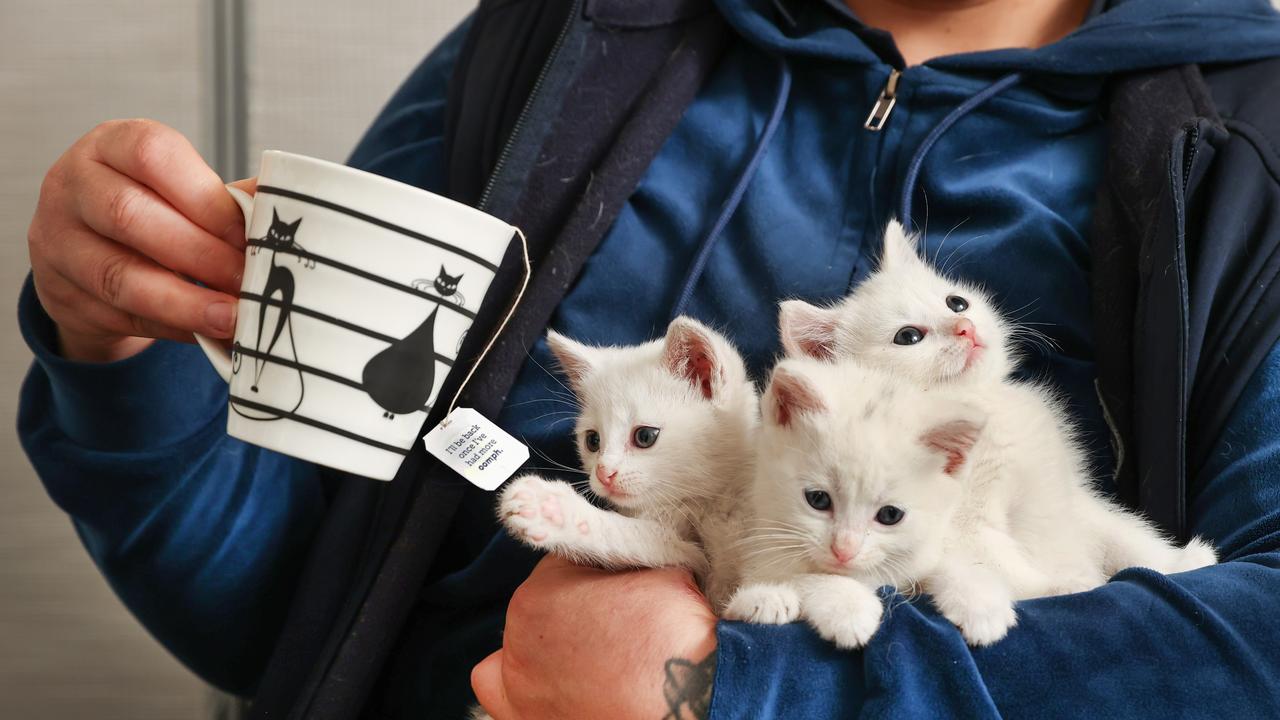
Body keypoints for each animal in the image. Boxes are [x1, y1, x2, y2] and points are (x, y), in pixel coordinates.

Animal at [496, 313, 757, 604]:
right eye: (592, 441)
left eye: (645, 436)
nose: (604, 473)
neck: (707, 501)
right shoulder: (689, 555)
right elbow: (655, 541)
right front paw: (555, 512)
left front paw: (549, 507)